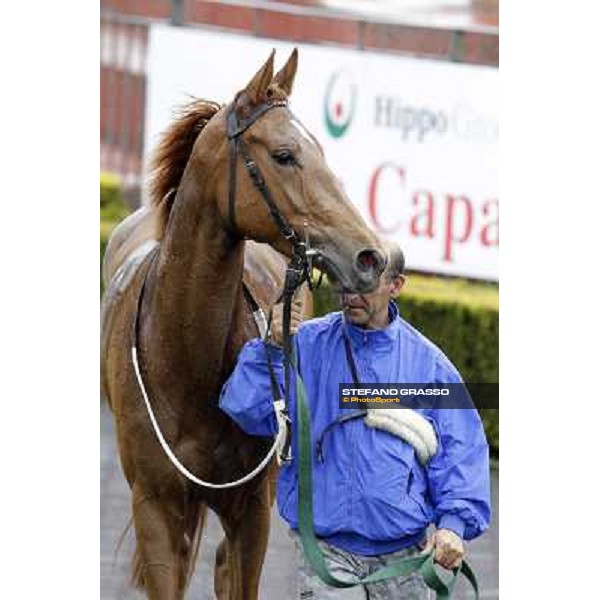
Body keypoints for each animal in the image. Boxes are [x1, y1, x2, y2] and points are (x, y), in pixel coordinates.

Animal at [101, 49, 384, 596]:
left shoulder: (252, 509)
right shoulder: (155, 507)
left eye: (319, 149)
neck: (186, 361)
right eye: (284, 154)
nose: (370, 256)